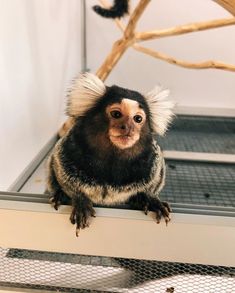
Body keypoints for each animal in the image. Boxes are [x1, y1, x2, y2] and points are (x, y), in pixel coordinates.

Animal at [46, 73, 174, 235]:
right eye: (116, 114)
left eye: (138, 119)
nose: (128, 128)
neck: (114, 157)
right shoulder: (67, 150)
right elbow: (62, 172)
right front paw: (80, 200)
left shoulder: (152, 162)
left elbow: (154, 181)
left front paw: (149, 199)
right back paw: (59, 195)